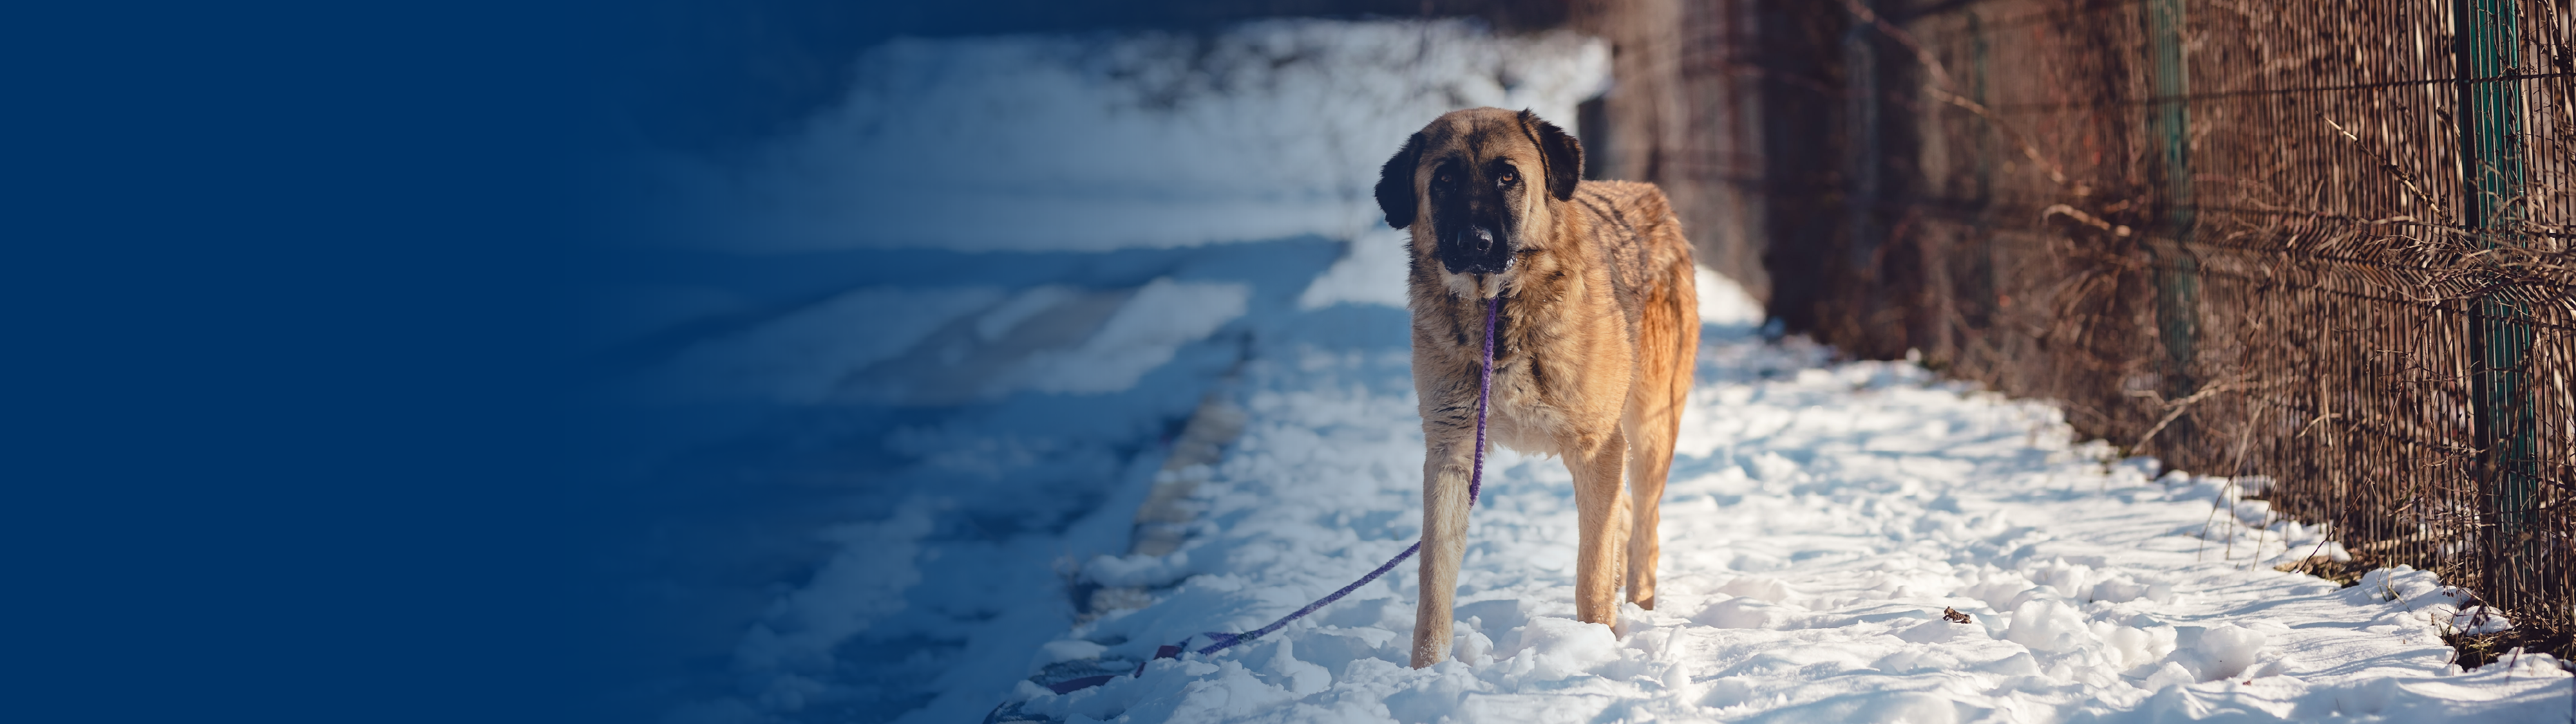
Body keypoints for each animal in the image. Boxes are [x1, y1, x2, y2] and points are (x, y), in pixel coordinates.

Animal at [1381, 107, 1700, 664]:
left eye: (1508, 175)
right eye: (1444, 179)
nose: (1474, 242)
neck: (1497, 313)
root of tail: (1651, 196)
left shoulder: (1598, 446)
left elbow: (1591, 571)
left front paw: (1595, 646)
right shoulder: (1450, 451)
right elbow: (1434, 577)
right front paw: (1426, 670)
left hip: (1650, 432)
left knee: (1644, 528)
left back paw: (1638, 610)